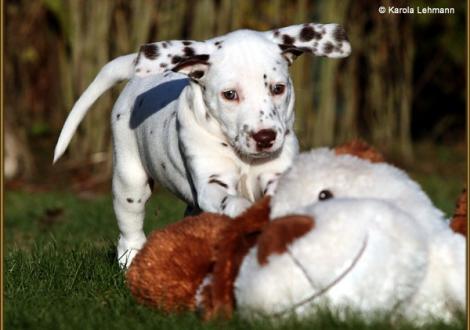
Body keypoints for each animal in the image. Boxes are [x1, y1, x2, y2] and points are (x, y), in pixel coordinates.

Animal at [53, 23, 350, 266]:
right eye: (230, 94)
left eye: (278, 88)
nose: (265, 137)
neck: (243, 156)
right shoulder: (211, 183)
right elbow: (230, 200)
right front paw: (245, 211)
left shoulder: (275, 170)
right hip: (130, 179)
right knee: (130, 227)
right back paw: (132, 260)